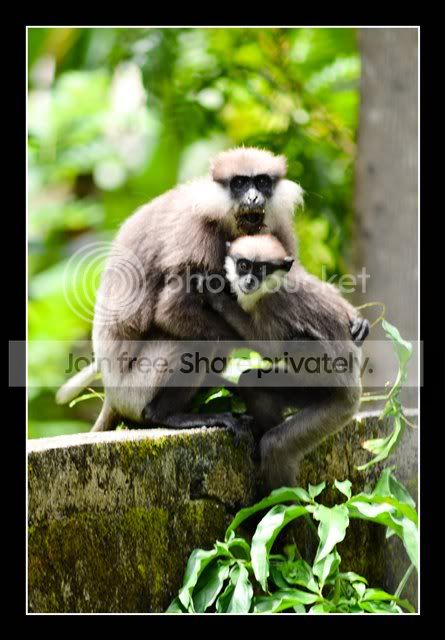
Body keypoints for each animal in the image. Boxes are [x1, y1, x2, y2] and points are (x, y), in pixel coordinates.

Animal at [56, 147, 304, 432]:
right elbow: (170, 311)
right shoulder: (194, 236)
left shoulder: (280, 233)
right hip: (135, 388)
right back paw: (168, 415)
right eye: (240, 183)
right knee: (197, 342)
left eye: (262, 181)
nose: (253, 197)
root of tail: (112, 396)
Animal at [202, 233, 369, 490]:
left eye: (261, 269)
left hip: (339, 407)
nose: (249, 281)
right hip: (309, 392)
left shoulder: (273, 305)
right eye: (244, 266)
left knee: (277, 446)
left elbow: (270, 348)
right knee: (253, 383)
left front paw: (217, 297)